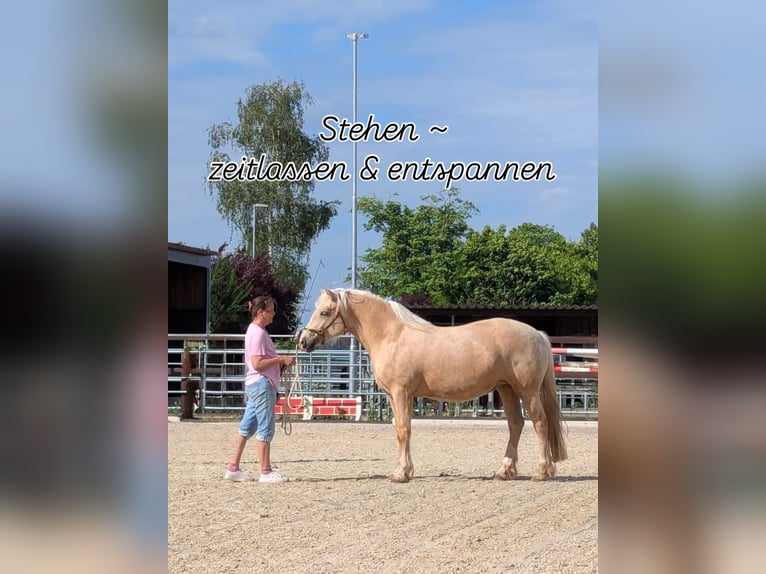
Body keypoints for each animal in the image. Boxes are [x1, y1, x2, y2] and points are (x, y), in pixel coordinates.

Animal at [297, 288, 567, 483]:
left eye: (325, 312)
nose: (303, 340)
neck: (392, 336)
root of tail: (538, 334)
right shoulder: (394, 396)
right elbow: (400, 429)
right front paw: (403, 470)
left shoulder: (401, 393)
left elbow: (403, 430)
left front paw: (401, 474)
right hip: (506, 389)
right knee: (516, 425)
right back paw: (504, 471)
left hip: (527, 391)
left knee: (540, 423)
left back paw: (541, 471)